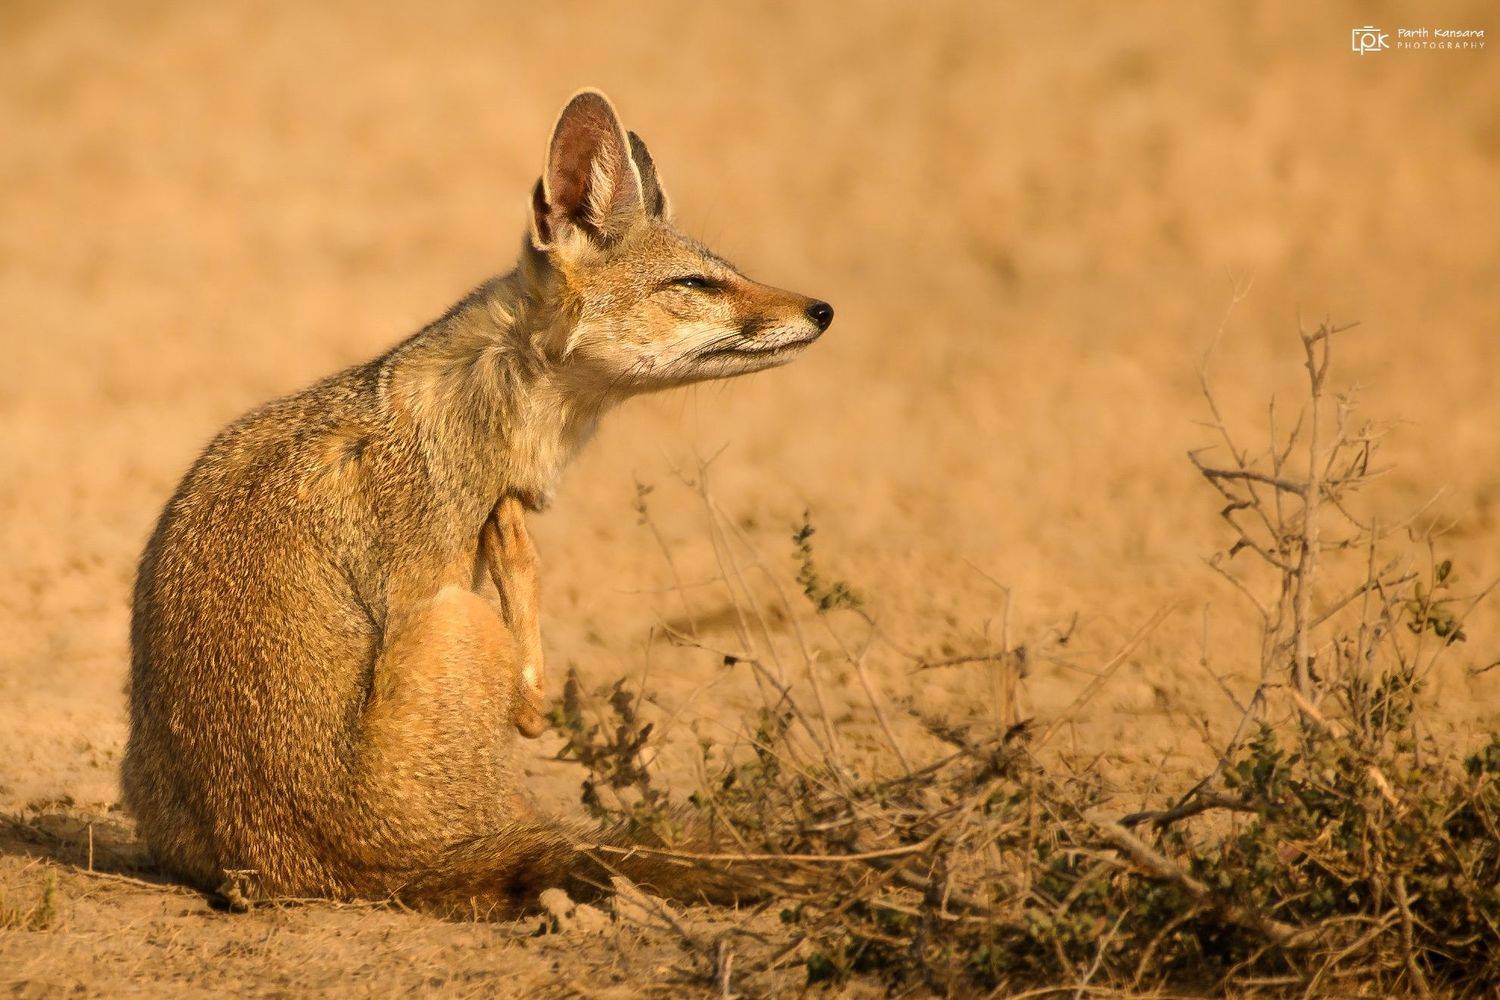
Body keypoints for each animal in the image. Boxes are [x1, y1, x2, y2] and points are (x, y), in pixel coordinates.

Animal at [121, 89, 833, 917]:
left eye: (731, 272)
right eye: (696, 285)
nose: (822, 310)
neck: (486, 393)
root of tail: (348, 870)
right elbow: (531, 697)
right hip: (463, 618)